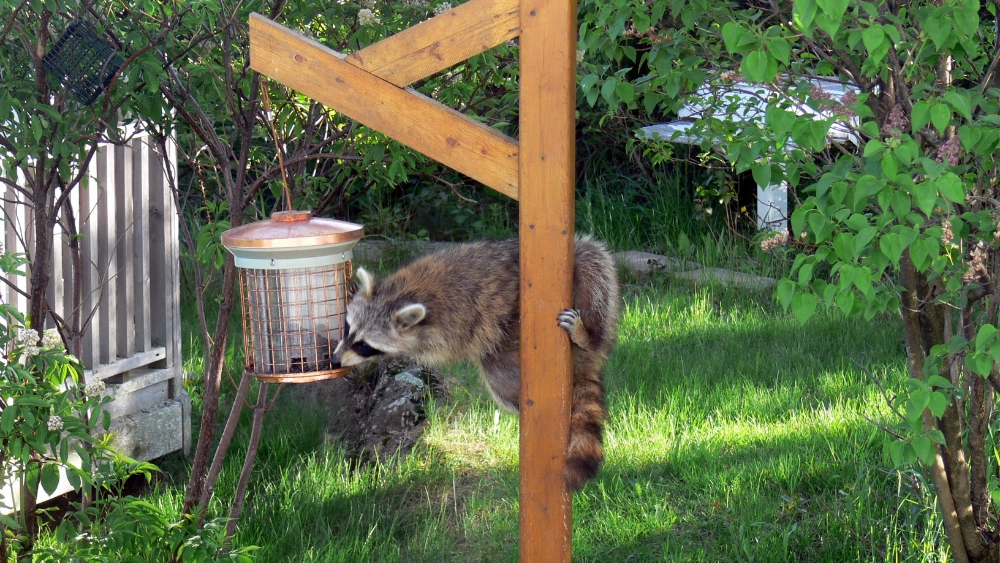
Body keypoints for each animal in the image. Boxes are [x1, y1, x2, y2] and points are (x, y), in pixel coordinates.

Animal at [334, 236, 620, 490]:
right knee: (501, 380)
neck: (403, 292)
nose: (335, 359)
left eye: (364, 345)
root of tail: (585, 360)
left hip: (589, 286)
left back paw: (588, 336)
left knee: (592, 258)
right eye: (348, 328)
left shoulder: (458, 316)